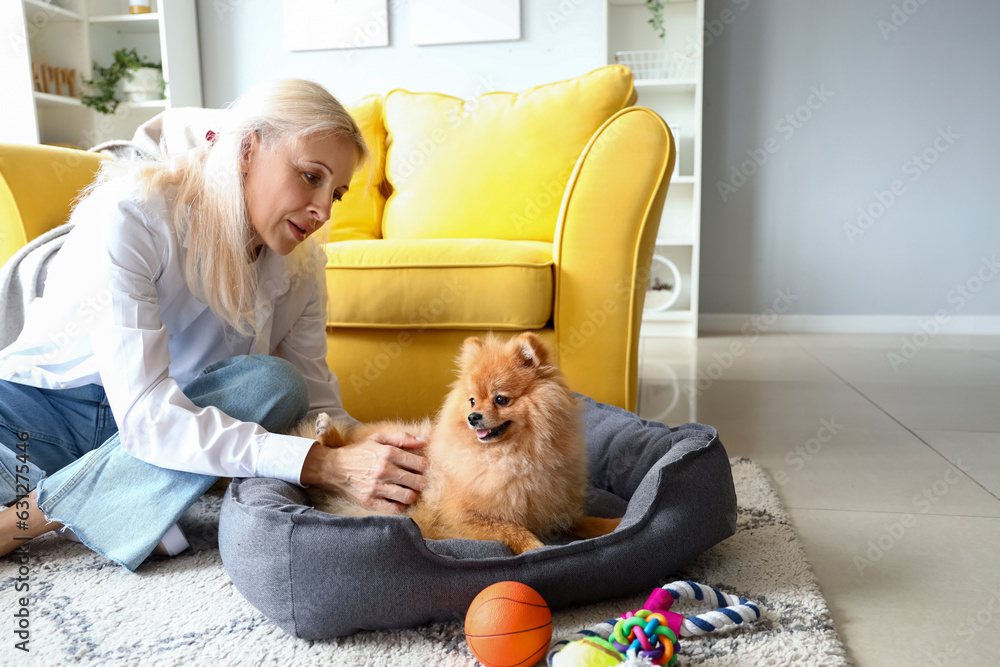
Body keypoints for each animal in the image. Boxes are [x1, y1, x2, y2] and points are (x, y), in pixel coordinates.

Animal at [292, 332, 620, 556]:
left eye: (501, 399)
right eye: (472, 400)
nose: (473, 417)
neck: (513, 456)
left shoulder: (554, 509)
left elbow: (588, 521)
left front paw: (617, 524)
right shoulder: (463, 519)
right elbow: (512, 528)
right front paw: (537, 549)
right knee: (342, 447)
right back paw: (326, 430)